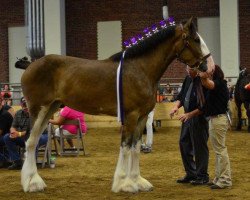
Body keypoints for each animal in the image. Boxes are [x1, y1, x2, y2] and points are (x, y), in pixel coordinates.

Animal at [19, 18, 213, 193]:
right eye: (196, 39)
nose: (208, 66)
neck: (140, 70)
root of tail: (31, 65)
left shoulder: (142, 117)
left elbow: (135, 148)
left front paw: (138, 181)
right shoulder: (131, 116)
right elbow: (126, 147)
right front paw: (124, 184)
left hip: (50, 108)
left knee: (34, 141)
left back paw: (34, 181)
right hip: (38, 109)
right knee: (30, 142)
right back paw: (32, 184)